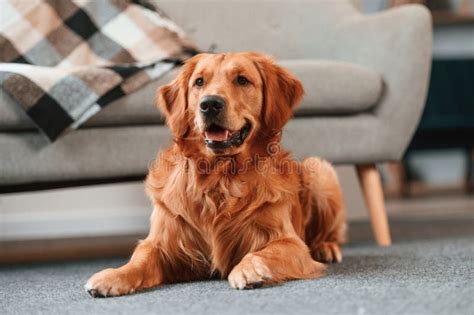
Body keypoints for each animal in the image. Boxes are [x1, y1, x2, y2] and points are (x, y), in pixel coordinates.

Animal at [86, 51, 344, 298]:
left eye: (242, 80)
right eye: (199, 82)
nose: (210, 104)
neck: (220, 177)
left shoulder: (290, 242)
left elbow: (262, 253)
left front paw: (248, 269)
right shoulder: (162, 240)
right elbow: (140, 258)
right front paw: (112, 276)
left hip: (320, 171)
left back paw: (326, 247)